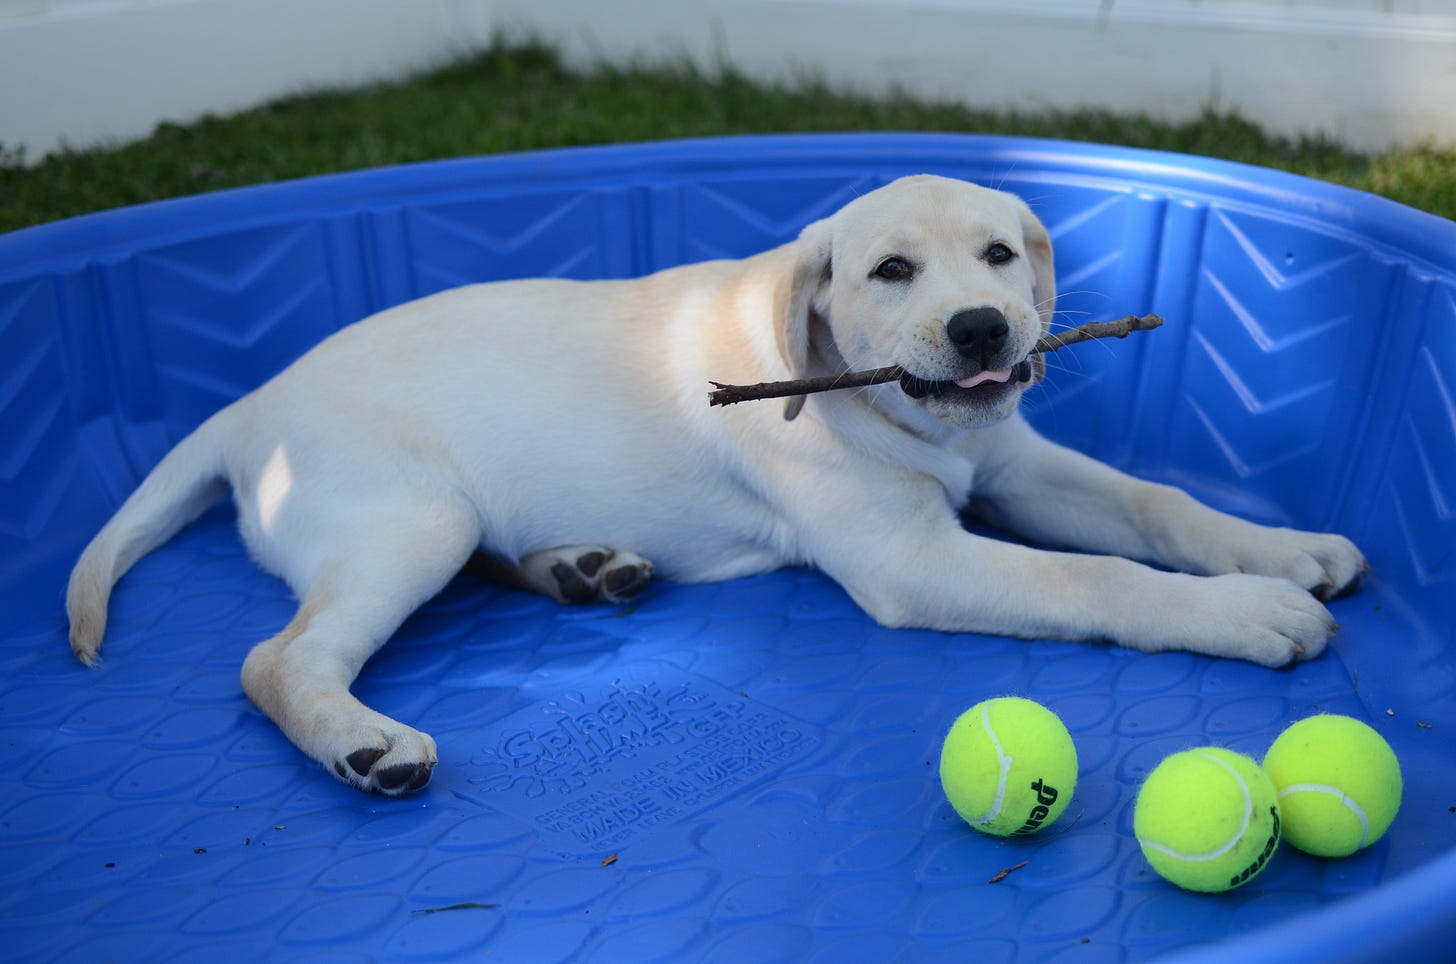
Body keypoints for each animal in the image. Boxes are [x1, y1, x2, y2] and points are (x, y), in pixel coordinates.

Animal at [65, 177, 1362, 797]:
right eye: (892, 271)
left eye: (999, 256)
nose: (985, 327)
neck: (854, 392)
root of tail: (248, 407)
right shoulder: (912, 557)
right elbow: (1098, 577)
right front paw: (1247, 610)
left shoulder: (1010, 459)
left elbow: (1151, 507)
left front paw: (1276, 547)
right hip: (410, 518)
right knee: (275, 660)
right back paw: (361, 742)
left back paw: (581, 566)